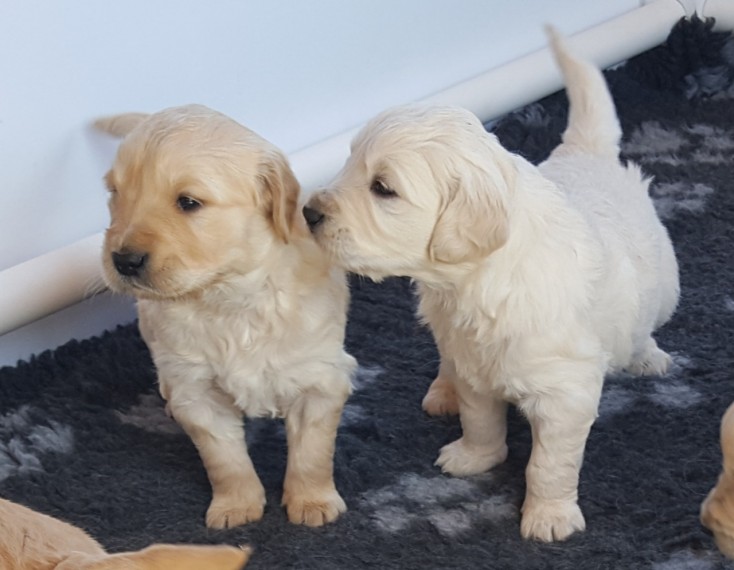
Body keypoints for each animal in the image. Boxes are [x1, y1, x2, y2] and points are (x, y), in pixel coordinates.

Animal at [97, 105, 356, 528]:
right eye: (115, 194)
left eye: (188, 202)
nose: (123, 260)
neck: (228, 298)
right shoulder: (198, 393)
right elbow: (225, 460)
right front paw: (236, 506)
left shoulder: (319, 379)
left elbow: (312, 452)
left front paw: (312, 501)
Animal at [304, 32, 680, 540]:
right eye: (348, 165)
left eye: (383, 188)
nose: (309, 212)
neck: (473, 284)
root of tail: (587, 154)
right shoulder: (473, 365)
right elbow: (479, 418)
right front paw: (474, 457)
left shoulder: (566, 393)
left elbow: (549, 464)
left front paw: (549, 517)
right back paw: (442, 391)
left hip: (664, 286)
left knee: (645, 324)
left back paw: (647, 357)